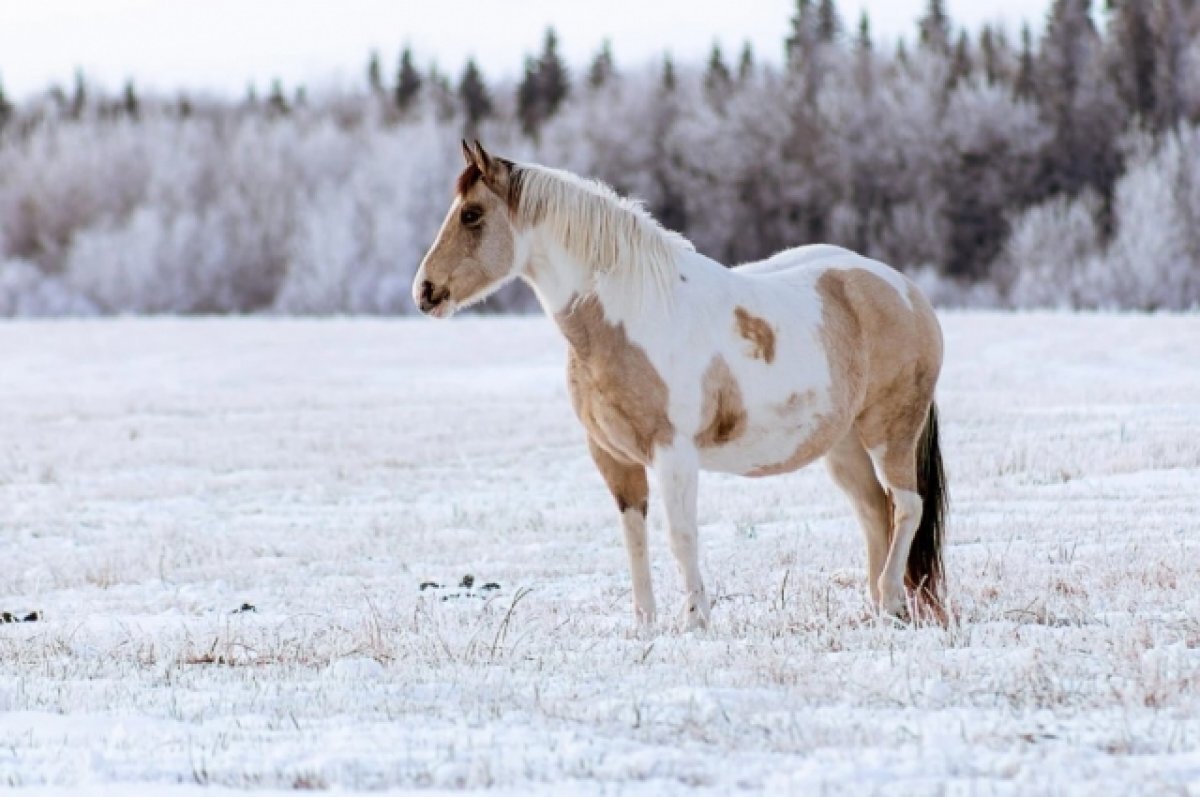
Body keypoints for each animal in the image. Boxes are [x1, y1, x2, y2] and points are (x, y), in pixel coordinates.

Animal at [412, 141, 945, 628]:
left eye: (472, 215)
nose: (425, 291)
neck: (631, 314)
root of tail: (908, 292)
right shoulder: (614, 458)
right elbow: (634, 538)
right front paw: (646, 627)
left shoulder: (674, 453)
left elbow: (681, 536)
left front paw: (695, 622)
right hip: (844, 446)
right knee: (875, 512)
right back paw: (882, 612)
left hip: (890, 432)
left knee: (907, 507)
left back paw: (892, 601)